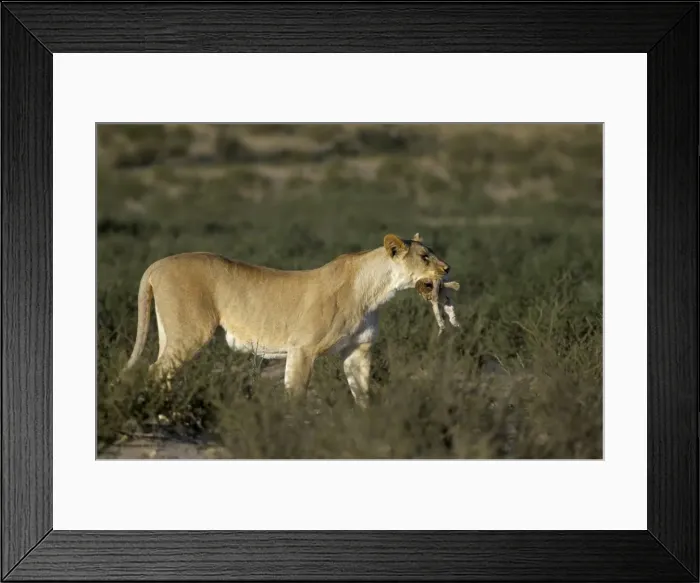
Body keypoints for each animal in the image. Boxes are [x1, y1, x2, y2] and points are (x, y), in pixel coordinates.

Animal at [122, 233, 450, 406]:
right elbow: (296, 393)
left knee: (162, 371)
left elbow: (362, 393)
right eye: (424, 257)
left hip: (172, 332)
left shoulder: (359, 349)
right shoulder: (303, 348)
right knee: (155, 370)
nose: (447, 269)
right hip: (191, 332)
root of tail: (157, 264)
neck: (375, 292)